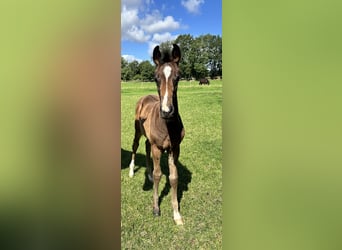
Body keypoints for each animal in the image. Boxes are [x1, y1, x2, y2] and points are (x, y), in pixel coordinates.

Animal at [128, 44, 186, 226]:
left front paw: (176, 214)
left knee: (146, 147)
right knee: (135, 146)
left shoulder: (175, 148)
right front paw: (155, 208)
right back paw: (131, 171)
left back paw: (147, 174)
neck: (167, 126)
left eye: (178, 77)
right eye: (155, 78)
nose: (167, 111)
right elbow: (158, 174)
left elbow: (174, 178)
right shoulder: (157, 148)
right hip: (138, 131)